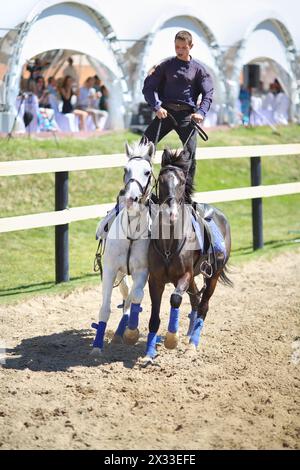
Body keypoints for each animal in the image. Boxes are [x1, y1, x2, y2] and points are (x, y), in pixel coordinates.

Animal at [92, 141, 156, 354]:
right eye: (125, 170)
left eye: (147, 172)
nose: (130, 198)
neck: (131, 233)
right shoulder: (111, 269)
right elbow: (105, 308)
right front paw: (97, 346)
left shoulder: (143, 271)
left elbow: (136, 296)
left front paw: (131, 332)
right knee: (125, 291)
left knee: (130, 297)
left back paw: (123, 331)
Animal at [144, 149, 233, 362]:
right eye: (161, 179)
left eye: (183, 181)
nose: (171, 213)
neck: (169, 245)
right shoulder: (155, 280)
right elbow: (154, 316)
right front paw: (149, 354)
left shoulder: (184, 275)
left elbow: (176, 299)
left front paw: (171, 339)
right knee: (195, 300)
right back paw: (189, 336)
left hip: (213, 276)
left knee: (203, 305)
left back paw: (193, 344)